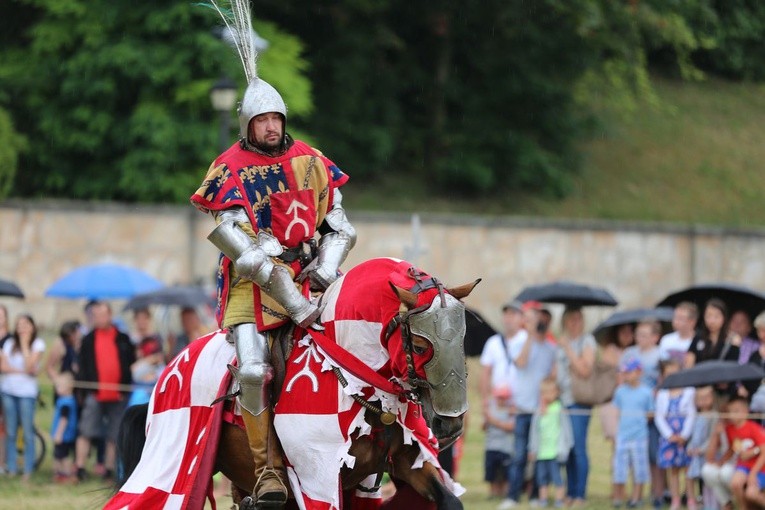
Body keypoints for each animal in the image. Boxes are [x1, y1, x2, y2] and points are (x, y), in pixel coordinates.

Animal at [112, 258, 478, 510]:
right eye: (420, 345)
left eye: (463, 338)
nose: (449, 425)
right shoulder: (318, 478)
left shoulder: (408, 462)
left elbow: (449, 500)